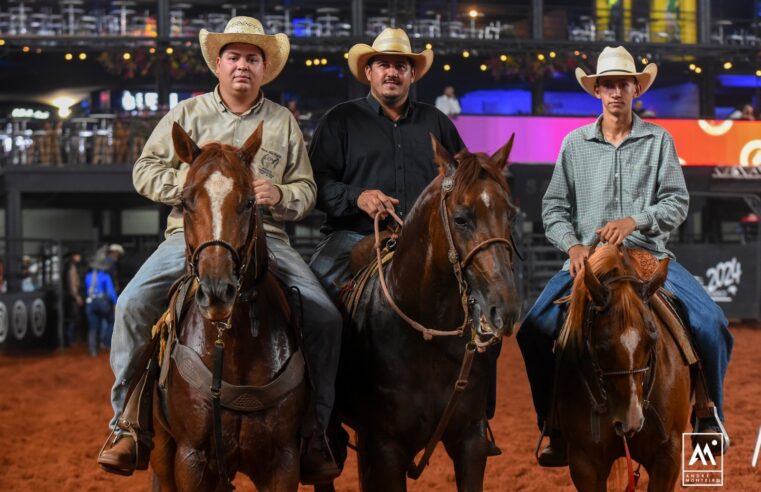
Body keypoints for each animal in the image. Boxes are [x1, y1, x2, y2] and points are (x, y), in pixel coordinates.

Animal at [150, 123, 308, 492]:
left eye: (249, 201)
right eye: (185, 201)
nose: (217, 291)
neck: (232, 346)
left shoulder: (283, 461)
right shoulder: (190, 459)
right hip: (163, 450)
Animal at [320, 135, 524, 492]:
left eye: (510, 215)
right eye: (460, 218)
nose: (506, 306)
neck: (428, 335)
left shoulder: (470, 441)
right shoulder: (385, 449)